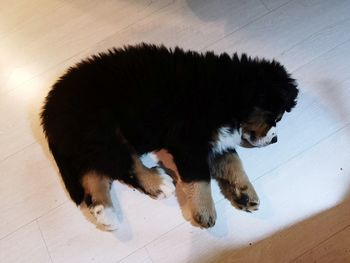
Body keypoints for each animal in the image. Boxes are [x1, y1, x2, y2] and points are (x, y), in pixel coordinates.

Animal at [41, 43, 298, 231]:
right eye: (275, 116)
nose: (275, 140)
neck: (226, 95)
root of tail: (48, 111)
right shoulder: (190, 141)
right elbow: (200, 178)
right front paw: (205, 212)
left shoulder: (217, 141)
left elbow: (234, 163)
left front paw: (246, 193)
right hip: (101, 127)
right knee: (124, 162)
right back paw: (158, 182)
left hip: (90, 141)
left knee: (95, 173)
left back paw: (106, 213)